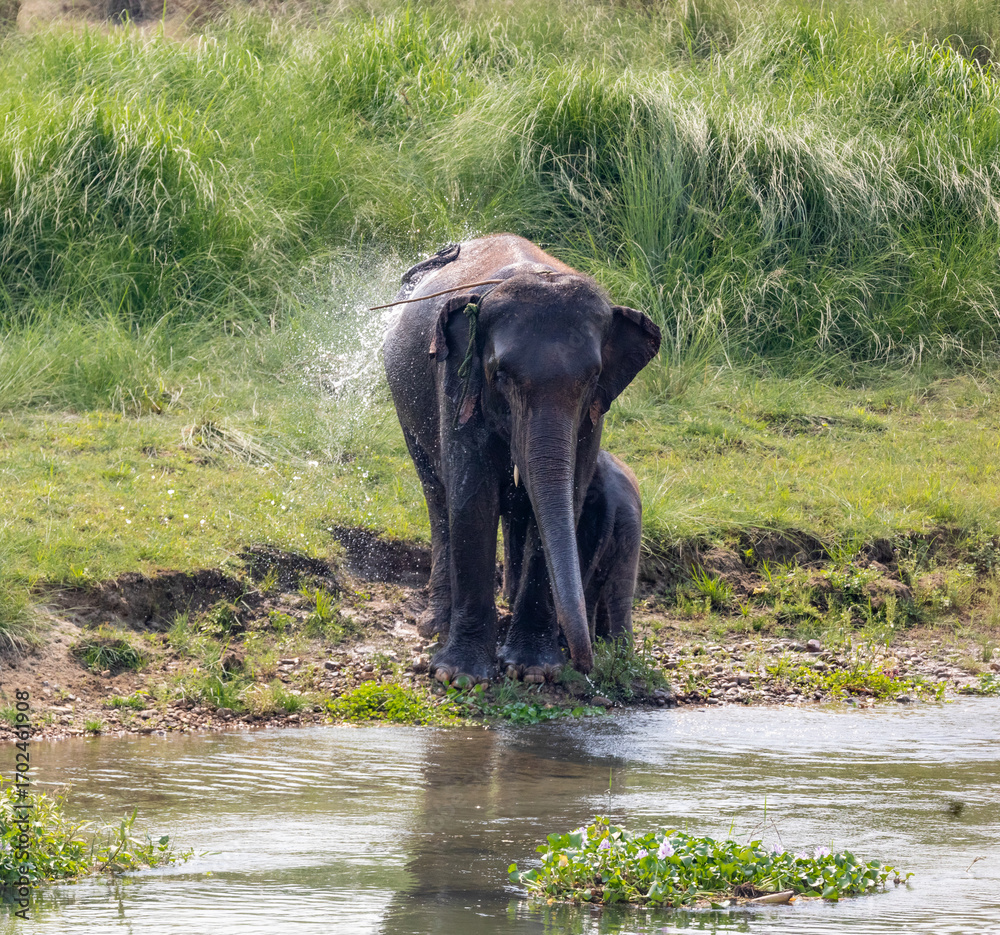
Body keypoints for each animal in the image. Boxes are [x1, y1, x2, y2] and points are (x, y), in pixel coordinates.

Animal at [382, 234, 660, 683]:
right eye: (501, 375)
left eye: (592, 378)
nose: (585, 665)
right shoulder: (457, 378)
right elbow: (473, 497)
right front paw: (459, 676)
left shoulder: (593, 414)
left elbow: (567, 493)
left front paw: (532, 671)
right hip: (404, 403)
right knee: (437, 496)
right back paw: (436, 624)